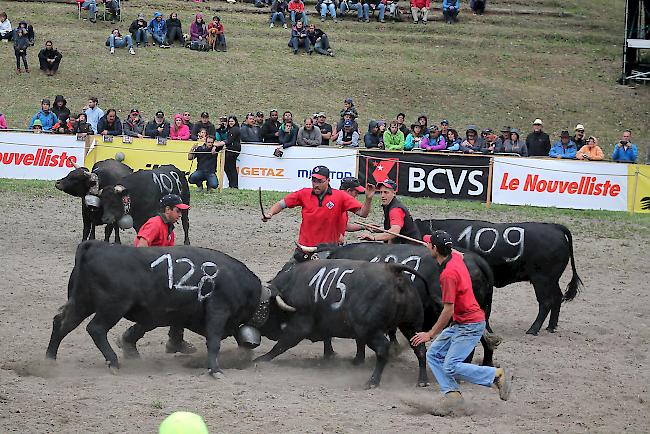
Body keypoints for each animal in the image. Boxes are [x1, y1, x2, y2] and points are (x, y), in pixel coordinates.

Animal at [45, 241, 264, 376]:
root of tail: (96, 246)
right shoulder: (218, 311)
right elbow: (214, 342)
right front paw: (215, 370)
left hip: (82, 302)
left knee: (62, 323)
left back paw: (50, 359)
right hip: (112, 306)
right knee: (95, 329)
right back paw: (113, 362)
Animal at [256, 260, 428, 388]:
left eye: (266, 306)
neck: (292, 285)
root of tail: (394, 271)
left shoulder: (299, 324)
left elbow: (281, 344)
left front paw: (262, 358)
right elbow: (329, 338)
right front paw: (333, 356)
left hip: (370, 330)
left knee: (383, 349)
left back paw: (373, 381)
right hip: (411, 326)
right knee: (420, 349)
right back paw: (422, 380)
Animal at [416, 220, 584, 336]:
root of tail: (555, 227)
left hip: (542, 280)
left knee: (546, 302)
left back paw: (533, 329)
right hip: (552, 280)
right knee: (557, 297)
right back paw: (551, 327)